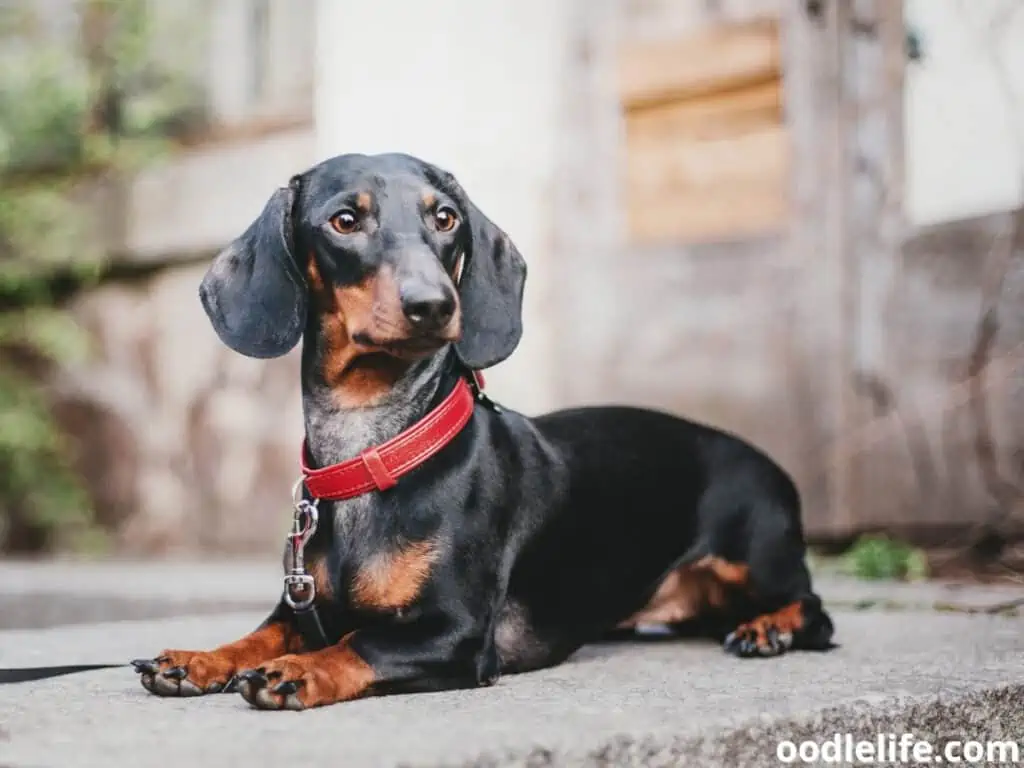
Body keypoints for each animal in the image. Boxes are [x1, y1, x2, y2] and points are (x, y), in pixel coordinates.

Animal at [130, 153, 831, 712]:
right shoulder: (301, 604)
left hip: (758, 555)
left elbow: (361, 640)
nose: (434, 304)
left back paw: (770, 629)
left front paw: (297, 671)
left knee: (815, 609)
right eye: (345, 221)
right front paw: (200, 658)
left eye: (445, 219)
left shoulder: (456, 633)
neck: (372, 450)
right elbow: (261, 632)